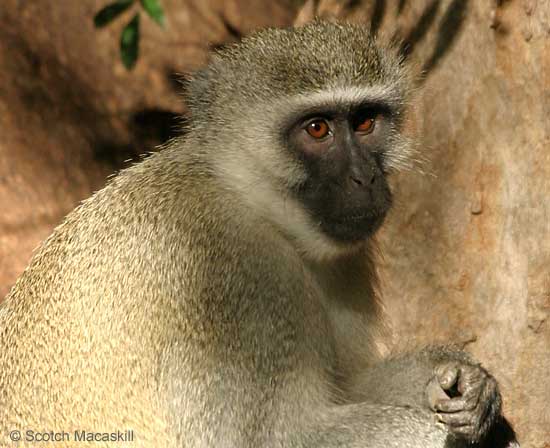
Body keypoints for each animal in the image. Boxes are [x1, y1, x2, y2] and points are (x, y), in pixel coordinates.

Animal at [0, 21, 516, 448]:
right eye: (318, 129)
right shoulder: (235, 282)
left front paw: (466, 384)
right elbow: (268, 439)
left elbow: (347, 385)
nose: (365, 178)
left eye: (366, 122)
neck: (253, 201)